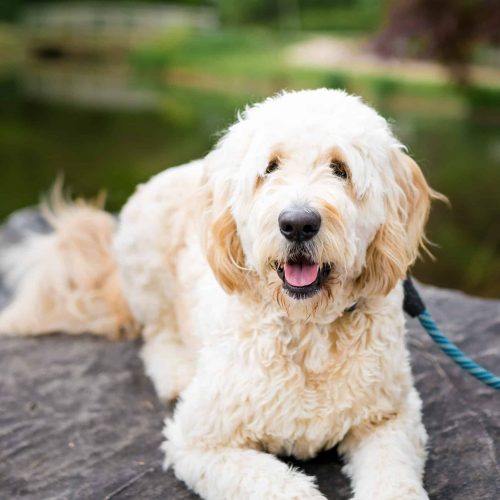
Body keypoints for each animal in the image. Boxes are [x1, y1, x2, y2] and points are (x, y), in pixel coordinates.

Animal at [0, 90, 442, 500]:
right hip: (144, 260)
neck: (307, 328)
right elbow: (279, 485)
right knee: (156, 334)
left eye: (340, 169)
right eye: (270, 167)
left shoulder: (392, 417)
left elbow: (394, 479)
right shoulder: (199, 440)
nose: (297, 223)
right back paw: (175, 369)